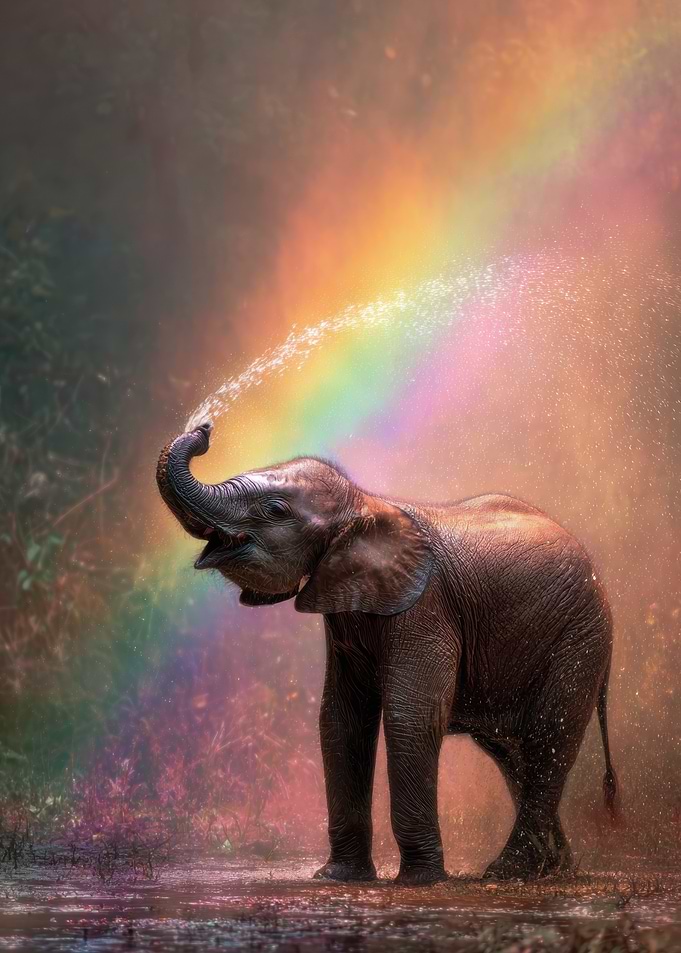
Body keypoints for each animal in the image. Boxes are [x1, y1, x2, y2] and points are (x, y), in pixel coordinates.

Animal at [157, 421, 619, 885]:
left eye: (275, 510)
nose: (205, 427)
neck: (364, 504)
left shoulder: (424, 606)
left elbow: (410, 715)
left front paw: (420, 881)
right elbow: (341, 719)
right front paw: (337, 877)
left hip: (580, 637)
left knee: (549, 739)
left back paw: (506, 873)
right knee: (513, 755)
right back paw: (552, 871)